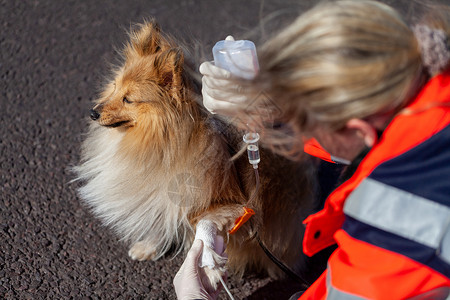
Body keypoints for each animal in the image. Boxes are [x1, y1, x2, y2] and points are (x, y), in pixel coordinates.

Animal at [74, 20, 314, 286]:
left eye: (128, 100)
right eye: (115, 88)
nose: (93, 112)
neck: (162, 139)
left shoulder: (232, 205)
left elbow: (205, 225)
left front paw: (208, 262)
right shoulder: (164, 191)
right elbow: (164, 217)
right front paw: (149, 247)